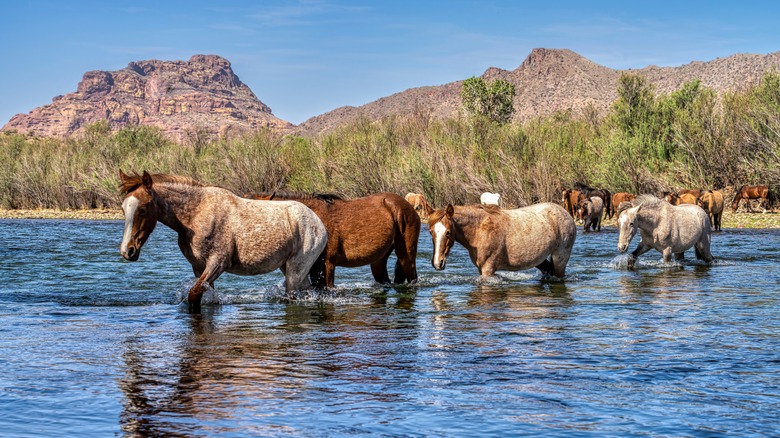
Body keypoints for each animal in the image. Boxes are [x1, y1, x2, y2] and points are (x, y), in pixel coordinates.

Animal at [117, 170, 328, 312]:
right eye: (123, 208)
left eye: (142, 209)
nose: (128, 251)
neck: (195, 214)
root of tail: (319, 223)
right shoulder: (199, 268)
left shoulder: (217, 263)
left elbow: (193, 296)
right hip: (289, 268)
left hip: (295, 270)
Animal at [424, 204, 576, 278]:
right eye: (431, 232)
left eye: (448, 232)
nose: (437, 263)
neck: (479, 229)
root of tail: (566, 214)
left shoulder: (488, 270)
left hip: (560, 259)